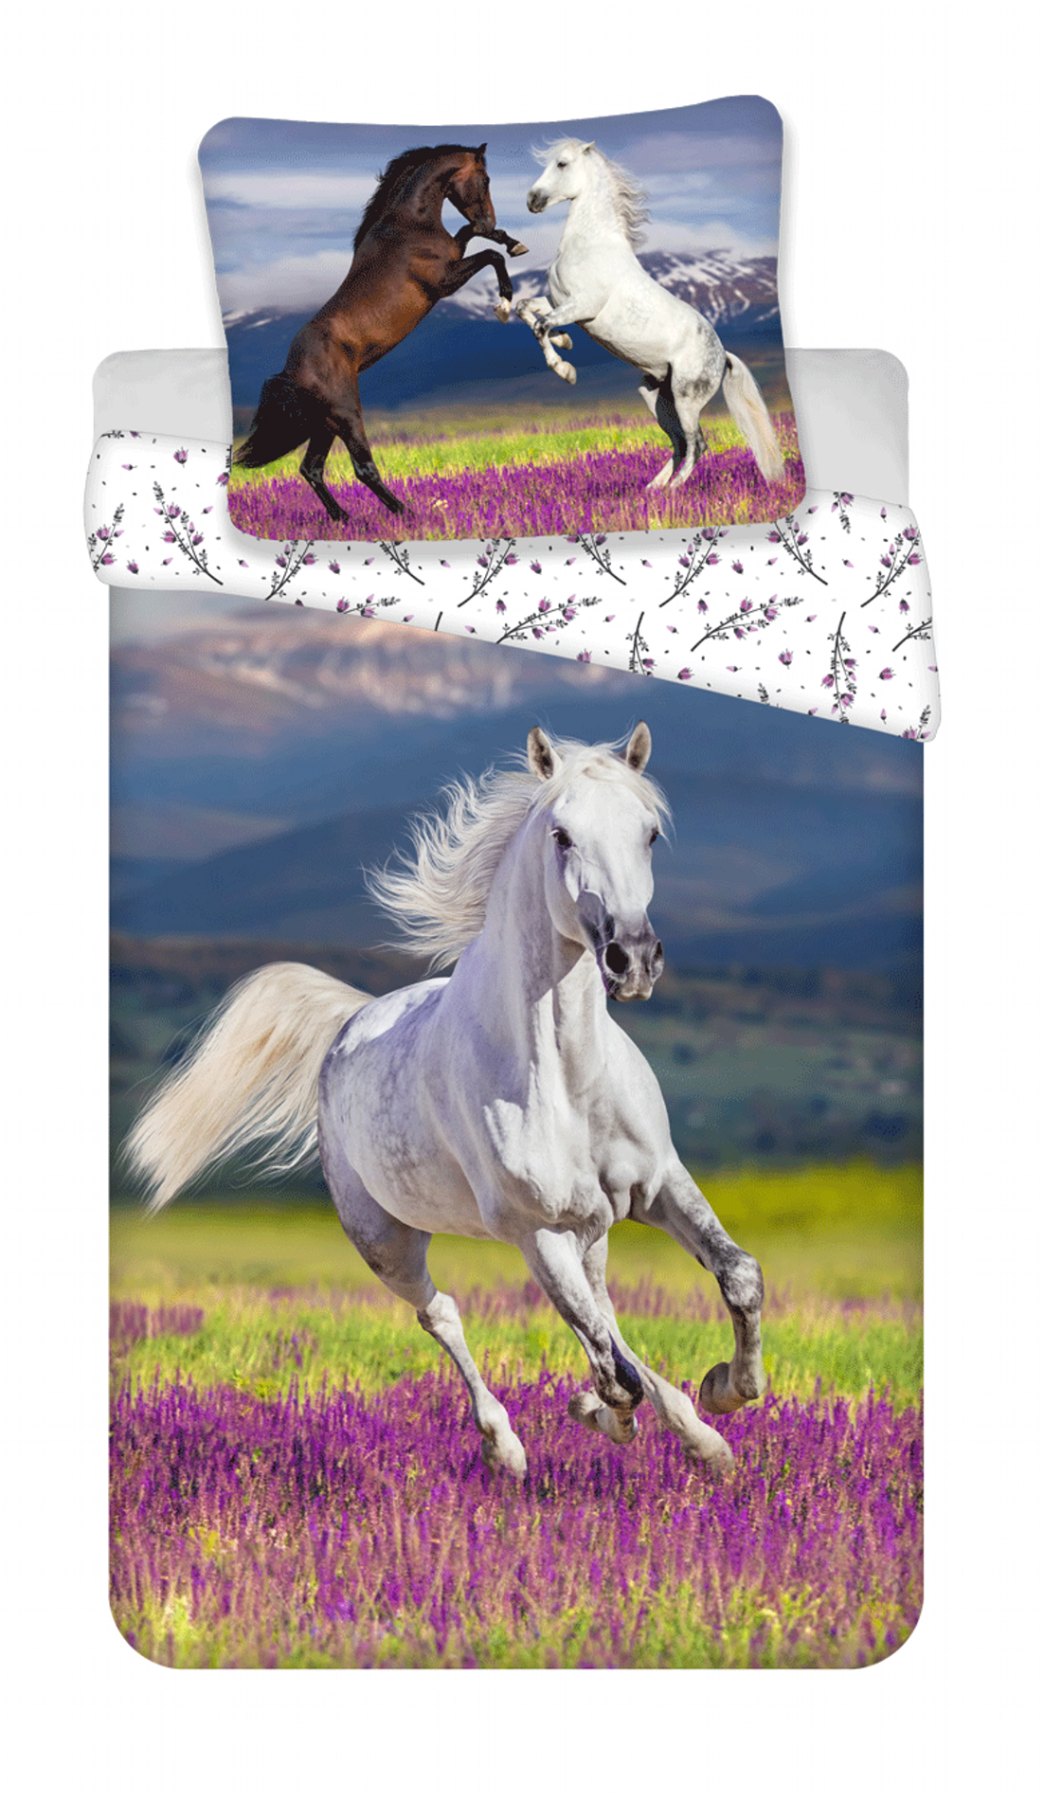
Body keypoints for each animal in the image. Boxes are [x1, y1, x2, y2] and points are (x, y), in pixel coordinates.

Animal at [126, 725, 767, 1480]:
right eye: (562, 836)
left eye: (650, 833)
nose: (632, 959)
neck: (567, 1079)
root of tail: (351, 1022)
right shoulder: (536, 1231)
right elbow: (613, 1370)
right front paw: (612, 1414)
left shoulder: (658, 1184)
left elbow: (736, 1278)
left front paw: (724, 1395)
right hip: (388, 1242)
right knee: (446, 1315)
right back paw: (507, 1447)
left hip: (592, 1231)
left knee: (606, 1314)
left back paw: (690, 1432)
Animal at [235, 144, 528, 519]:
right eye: (486, 178)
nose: (490, 217)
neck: (410, 225)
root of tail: (292, 371)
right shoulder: (443, 281)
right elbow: (490, 254)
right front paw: (505, 300)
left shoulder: (455, 255)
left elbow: (470, 232)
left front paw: (511, 242)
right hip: (346, 414)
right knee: (362, 468)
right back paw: (406, 513)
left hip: (325, 423)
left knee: (311, 468)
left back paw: (343, 518)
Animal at [517, 140, 786, 492]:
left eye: (562, 163)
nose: (532, 200)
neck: (591, 245)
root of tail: (723, 355)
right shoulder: (559, 302)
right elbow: (526, 310)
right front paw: (565, 343)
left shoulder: (583, 307)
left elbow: (540, 326)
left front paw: (565, 371)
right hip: (656, 396)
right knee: (679, 443)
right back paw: (652, 490)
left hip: (686, 399)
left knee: (697, 443)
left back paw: (673, 489)